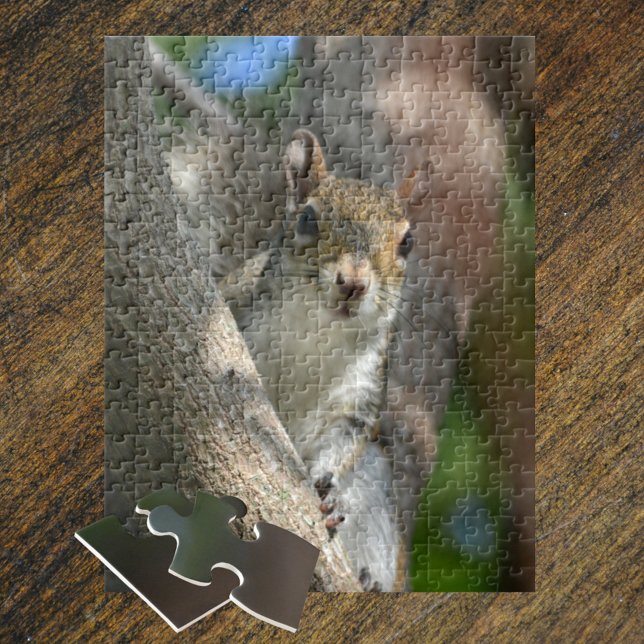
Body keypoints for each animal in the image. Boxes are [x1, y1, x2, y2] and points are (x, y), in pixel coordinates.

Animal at [220, 129, 418, 591]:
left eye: (407, 242)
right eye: (307, 219)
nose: (353, 284)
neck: (315, 331)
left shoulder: (362, 390)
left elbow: (345, 438)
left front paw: (320, 489)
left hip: (374, 482)